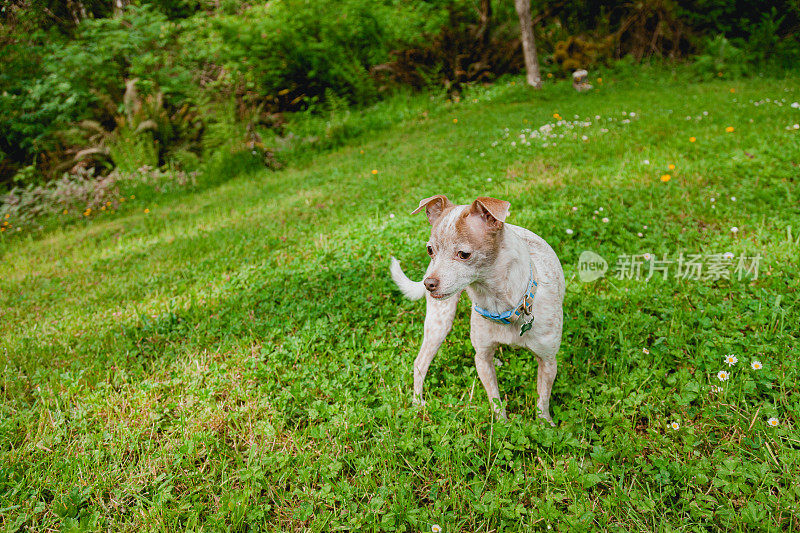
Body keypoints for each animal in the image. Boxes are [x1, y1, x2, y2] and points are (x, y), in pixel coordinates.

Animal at [392, 193, 564, 422]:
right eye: (430, 250)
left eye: (464, 254)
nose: (428, 284)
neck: (502, 305)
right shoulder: (481, 359)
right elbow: (495, 400)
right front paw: (503, 425)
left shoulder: (548, 361)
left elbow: (542, 400)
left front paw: (545, 425)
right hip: (440, 322)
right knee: (420, 363)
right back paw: (418, 404)